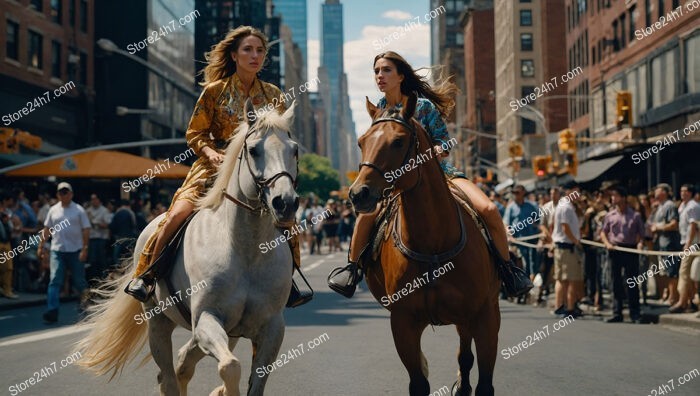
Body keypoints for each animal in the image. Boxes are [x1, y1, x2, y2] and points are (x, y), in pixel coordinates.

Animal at [77, 100, 300, 396]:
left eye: (294, 149)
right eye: (253, 150)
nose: (285, 203)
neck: (247, 250)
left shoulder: (272, 327)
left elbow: (255, 380)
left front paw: (222, 391)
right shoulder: (206, 318)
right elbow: (230, 367)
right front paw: (226, 390)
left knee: (183, 363)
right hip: (158, 321)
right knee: (169, 376)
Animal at [352, 94, 500, 394]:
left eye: (398, 141)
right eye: (362, 142)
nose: (358, 193)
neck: (433, 241)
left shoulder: (484, 316)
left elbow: (484, 384)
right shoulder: (403, 322)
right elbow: (419, 382)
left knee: (465, 354)